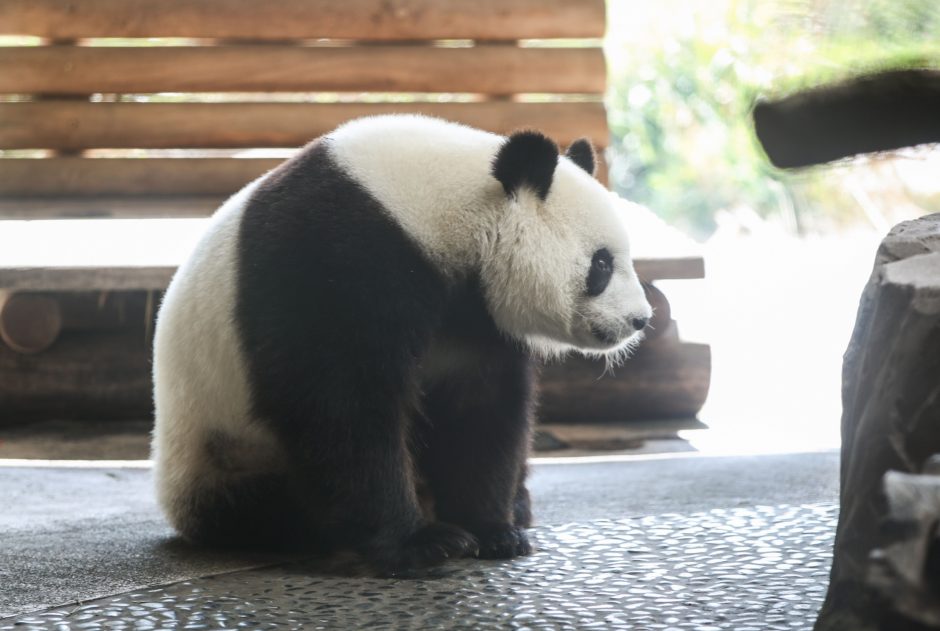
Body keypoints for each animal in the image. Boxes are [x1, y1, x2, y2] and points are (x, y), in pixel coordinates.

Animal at [154, 112, 652, 572]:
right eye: (602, 265)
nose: (640, 320)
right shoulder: (331, 257)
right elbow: (340, 406)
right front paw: (422, 543)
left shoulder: (473, 318)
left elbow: (480, 408)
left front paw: (492, 530)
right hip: (221, 452)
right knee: (268, 505)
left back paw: (517, 503)